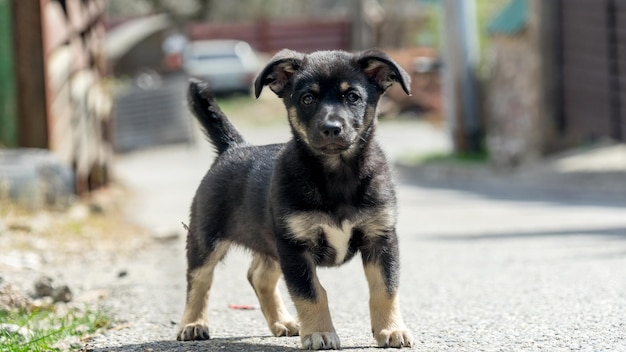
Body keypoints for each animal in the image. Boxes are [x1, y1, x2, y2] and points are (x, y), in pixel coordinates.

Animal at [176, 48, 412, 350]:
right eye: (307, 98)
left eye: (353, 97)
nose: (331, 128)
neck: (336, 176)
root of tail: (233, 147)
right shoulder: (295, 246)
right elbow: (311, 292)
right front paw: (320, 333)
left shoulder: (380, 237)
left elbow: (385, 288)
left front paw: (391, 329)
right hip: (206, 238)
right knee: (199, 279)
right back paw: (193, 324)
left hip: (270, 243)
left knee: (259, 276)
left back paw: (283, 323)